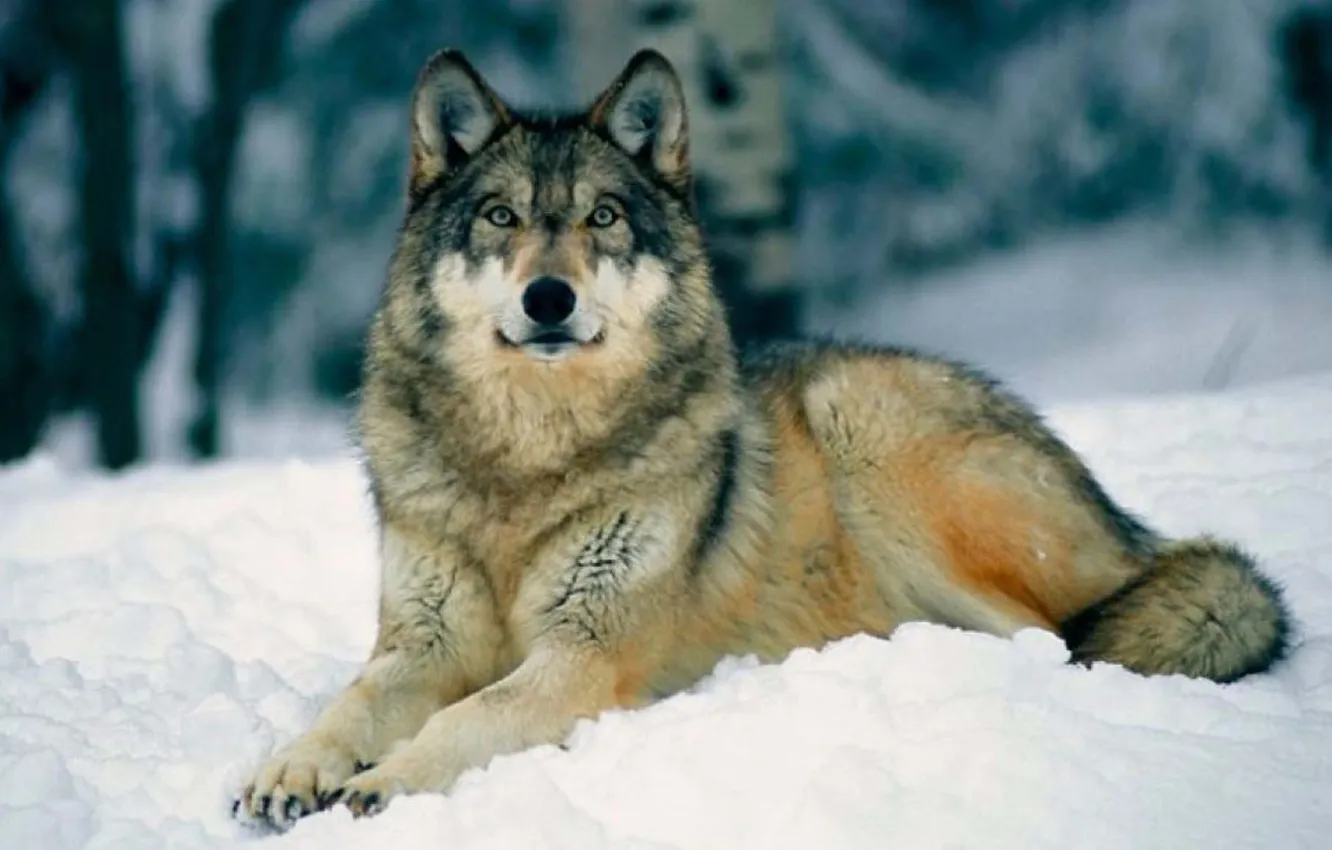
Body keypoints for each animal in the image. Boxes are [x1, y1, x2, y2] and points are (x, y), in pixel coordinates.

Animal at [235, 48, 1291, 828]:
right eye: (502, 217)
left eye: (602, 217)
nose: (549, 297)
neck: (528, 460)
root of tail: (1130, 528)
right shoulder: (421, 644)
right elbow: (349, 705)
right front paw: (290, 769)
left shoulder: (584, 654)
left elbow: (468, 717)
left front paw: (383, 782)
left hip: (868, 433)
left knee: (1055, 639)